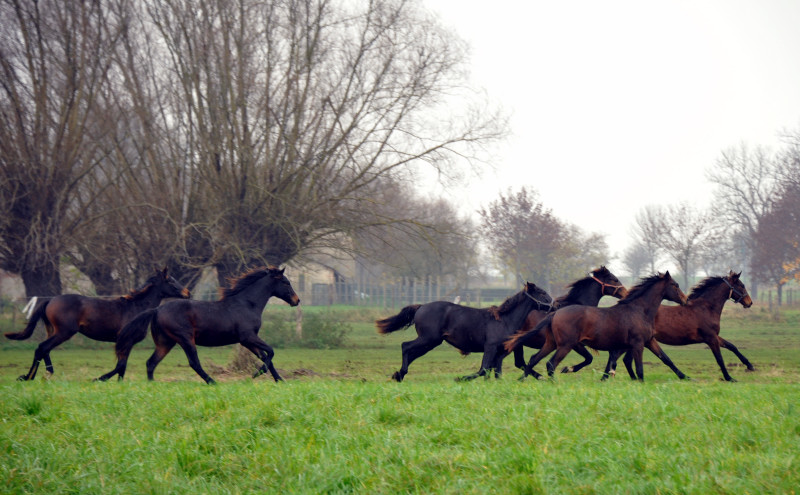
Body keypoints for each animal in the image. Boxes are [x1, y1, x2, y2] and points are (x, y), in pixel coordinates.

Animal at [5, 270, 189, 382]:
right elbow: (120, 366)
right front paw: (98, 379)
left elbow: (122, 367)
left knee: (45, 349)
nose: (187, 293)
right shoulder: (126, 341)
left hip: (54, 331)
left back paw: (40, 375)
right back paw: (32, 376)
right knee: (42, 348)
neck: (137, 307)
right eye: (171, 281)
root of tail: (50, 300)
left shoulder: (127, 343)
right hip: (64, 332)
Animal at [94, 268, 300, 384]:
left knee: (151, 363)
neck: (247, 304)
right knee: (194, 362)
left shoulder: (247, 341)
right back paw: (212, 382)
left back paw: (152, 384)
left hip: (166, 342)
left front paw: (279, 380)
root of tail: (157, 310)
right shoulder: (248, 337)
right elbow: (270, 352)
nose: (297, 300)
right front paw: (257, 374)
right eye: (286, 282)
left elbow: (266, 356)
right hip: (185, 339)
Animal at [374, 282, 552, 384]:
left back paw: (398, 375)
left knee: (411, 353)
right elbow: (483, 369)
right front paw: (460, 378)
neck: (504, 319)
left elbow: (494, 370)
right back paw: (400, 374)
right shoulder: (490, 347)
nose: (554, 304)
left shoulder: (502, 350)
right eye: (542, 292)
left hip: (430, 342)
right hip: (428, 339)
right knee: (405, 346)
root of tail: (421, 306)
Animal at [516, 274, 692, 382]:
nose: (686, 300)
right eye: (675, 285)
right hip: (566, 345)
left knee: (534, 359)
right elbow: (638, 368)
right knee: (550, 363)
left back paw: (526, 379)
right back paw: (554, 381)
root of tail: (555, 313)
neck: (639, 310)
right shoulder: (637, 344)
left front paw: (686, 377)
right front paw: (640, 383)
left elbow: (666, 359)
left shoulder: (649, 341)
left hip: (552, 343)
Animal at [600, 272, 756, 384]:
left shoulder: (714, 336)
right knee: (617, 356)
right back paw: (606, 377)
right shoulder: (710, 338)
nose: (750, 302)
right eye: (742, 285)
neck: (706, 307)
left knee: (624, 359)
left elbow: (732, 346)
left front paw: (749, 366)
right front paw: (729, 378)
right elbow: (719, 359)